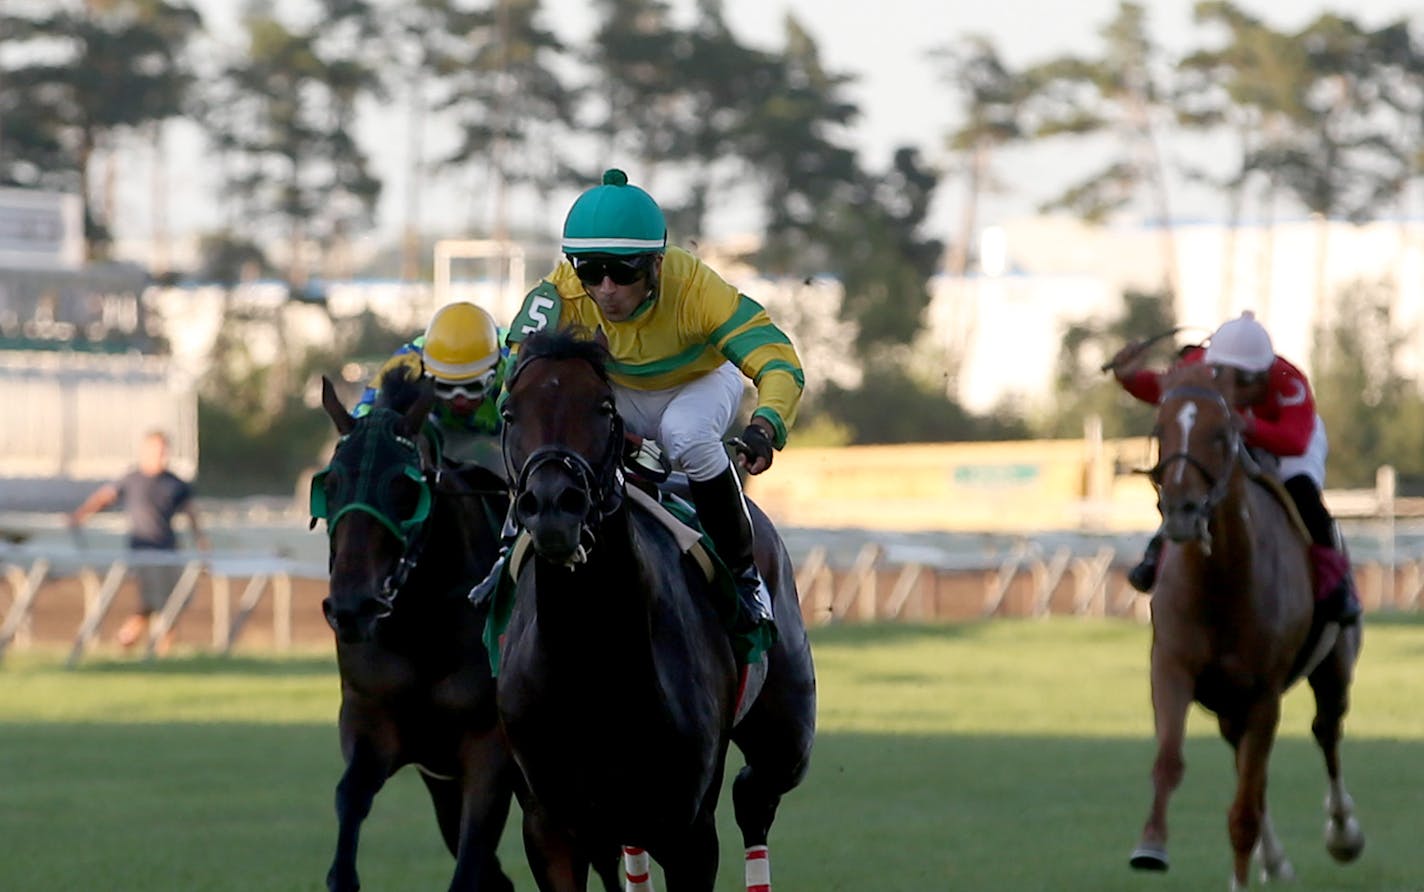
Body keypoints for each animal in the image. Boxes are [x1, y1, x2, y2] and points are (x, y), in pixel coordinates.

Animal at [313, 367, 518, 889]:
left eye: (405, 488)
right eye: (332, 482)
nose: (352, 606)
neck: (423, 627)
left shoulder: (490, 751)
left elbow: (470, 865)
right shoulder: (375, 725)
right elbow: (349, 799)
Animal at [495, 327, 820, 889]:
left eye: (604, 406)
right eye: (511, 412)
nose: (555, 504)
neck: (590, 663)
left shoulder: (688, 827)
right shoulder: (548, 824)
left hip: (786, 733)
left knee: (755, 794)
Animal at [1127, 359, 1361, 883]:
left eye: (1221, 434)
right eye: (1160, 429)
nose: (1181, 511)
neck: (1221, 584)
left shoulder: (1263, 693)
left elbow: (1243, 816)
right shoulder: (1171, 667)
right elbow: (1168, 761)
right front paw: (1150, 845)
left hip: (1333, 665)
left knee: (1326, 731)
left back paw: (1343, 833)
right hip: (1227, 703)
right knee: (1251, 768)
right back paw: (1274, 862)